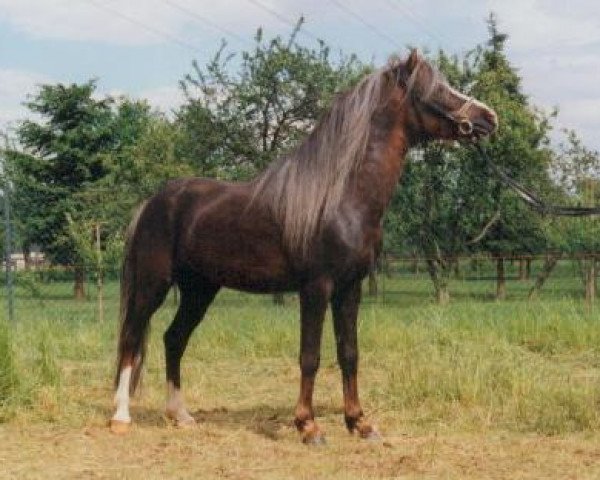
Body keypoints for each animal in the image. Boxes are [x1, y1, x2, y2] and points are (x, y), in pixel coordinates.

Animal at [110, 49, 494, 442]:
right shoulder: (316, 287)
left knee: (174, 339)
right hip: (152, 285)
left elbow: (349, 352)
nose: (488, 117)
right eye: (438, 90)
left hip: (199, 290)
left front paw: (359, 422)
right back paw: (121, 417)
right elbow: (310, 356)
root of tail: (152, 202)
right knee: (130, 338)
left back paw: (181, 415)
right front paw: (308, 426)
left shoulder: (350, 288)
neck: (340, 195)